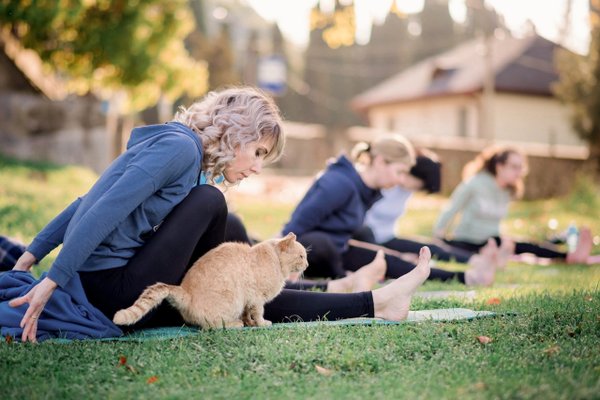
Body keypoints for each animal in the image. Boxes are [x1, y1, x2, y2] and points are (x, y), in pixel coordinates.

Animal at [113, 233, 310, 330]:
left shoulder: (248, 301)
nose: (307, 265)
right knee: (213, 326)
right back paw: (234, 325)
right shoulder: (256, 298)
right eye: (301, 256)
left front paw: (251, 323)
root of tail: (185, 292)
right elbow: (259, 313)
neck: (275, 261)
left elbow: (248, 314)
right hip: (230, 301)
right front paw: (261, 324)